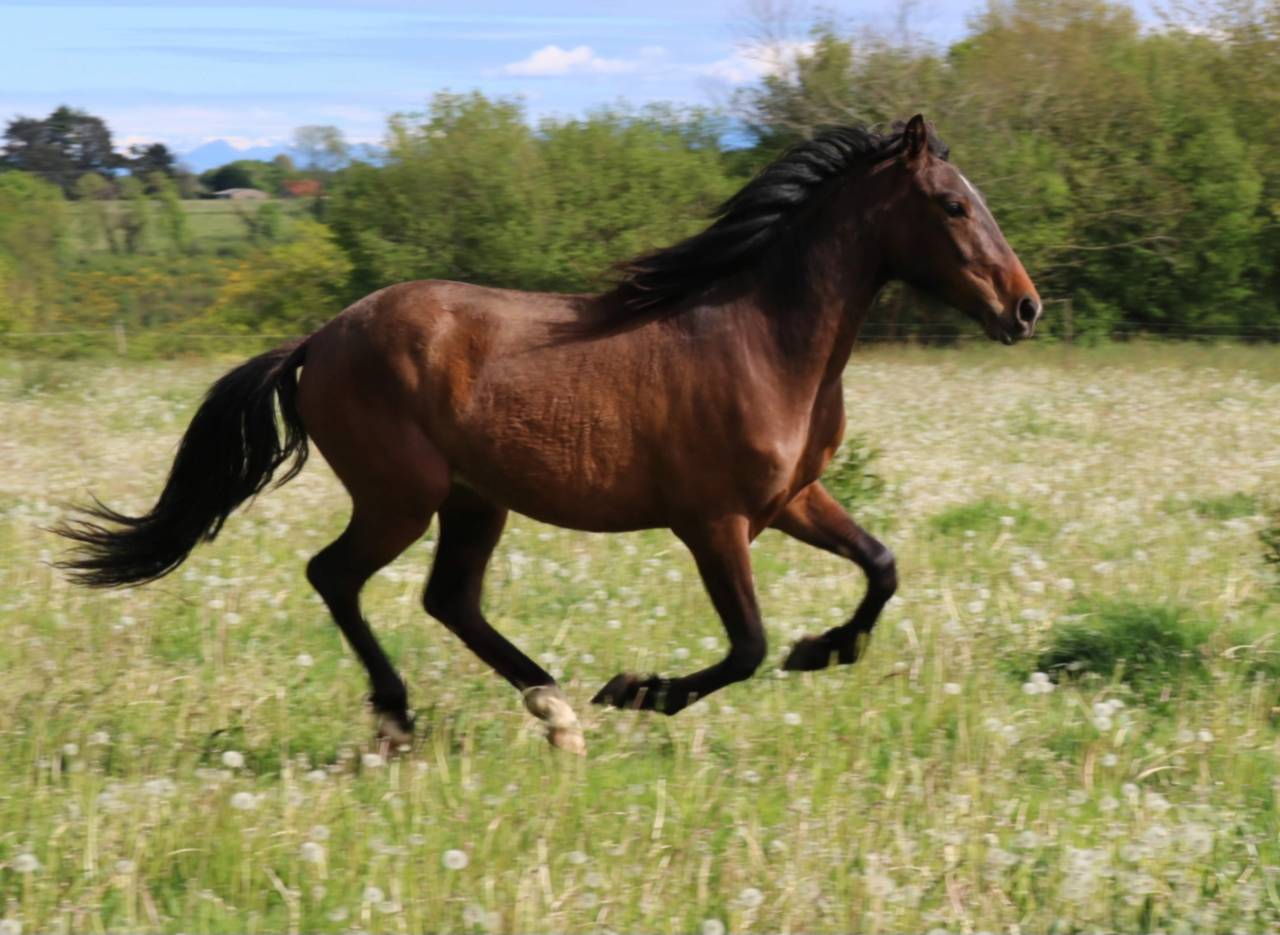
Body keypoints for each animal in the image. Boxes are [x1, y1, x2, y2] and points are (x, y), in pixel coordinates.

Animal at [57, 115, 1040, 754]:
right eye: (952, 206)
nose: (1024, 308)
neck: (763, 340)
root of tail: (317, 339)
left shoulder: (794, 498)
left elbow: (881, 566)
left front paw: (823, 650)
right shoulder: (713, 522)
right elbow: (746, 646)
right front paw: (639, 692)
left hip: (473, 501)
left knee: (448, 599)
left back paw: (553, 713)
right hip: (402, 496)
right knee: (336, 575)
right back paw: (406, 717)